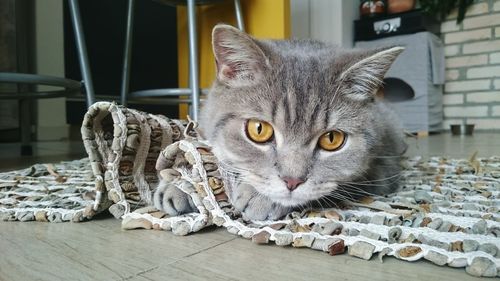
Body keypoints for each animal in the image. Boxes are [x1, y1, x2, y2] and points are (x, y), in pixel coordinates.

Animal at [154, 24, 408, 220]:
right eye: (259, 130)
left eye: (332, 139)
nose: (292, 181)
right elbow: (204, 154)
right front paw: (179, 183)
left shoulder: (382, 168)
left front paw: (260, 197)